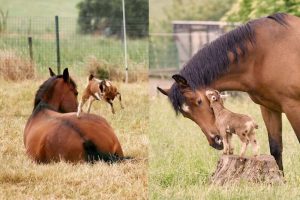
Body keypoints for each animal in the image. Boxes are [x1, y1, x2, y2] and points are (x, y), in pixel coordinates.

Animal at [157, 13, 300, 171]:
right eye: (185, 114)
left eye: (199, 101)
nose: (216, 140)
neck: (265, 53)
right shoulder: (269, 108)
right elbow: (275, 149)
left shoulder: (294, 107)